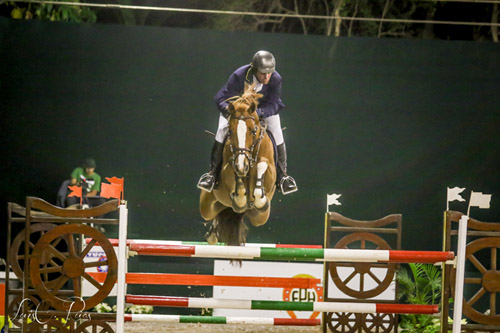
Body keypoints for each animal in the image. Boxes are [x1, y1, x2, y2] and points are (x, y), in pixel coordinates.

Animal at [199, 83, 278, 246]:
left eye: (253, 131)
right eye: (230, 131)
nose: (242, 166)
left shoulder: (271, 172)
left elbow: (262, 166)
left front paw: (258, 196)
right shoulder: (227, 169)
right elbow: (233, 173)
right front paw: (240, 195)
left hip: (260, 217)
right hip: (207, 205)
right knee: (212, 215)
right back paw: (213, 233)